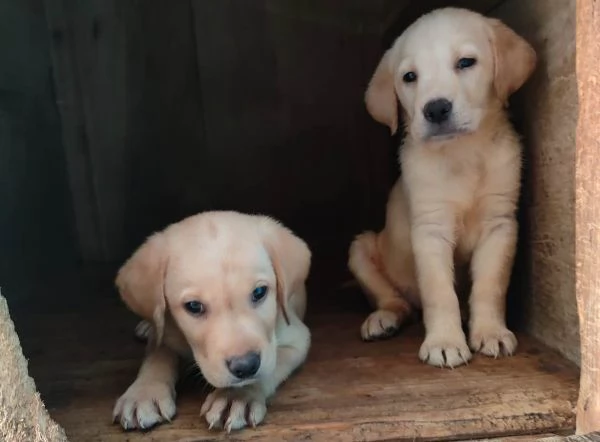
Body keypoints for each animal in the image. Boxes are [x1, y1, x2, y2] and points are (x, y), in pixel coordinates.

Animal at [112, 211, 312, 432]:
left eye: (259, 292)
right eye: (193, 306)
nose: (245, 366)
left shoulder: (297, 338)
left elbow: (271, 368)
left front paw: (237, 396)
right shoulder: (164, 332)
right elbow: (157, 357)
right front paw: (143, 394)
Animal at [350, 6, 536, 368]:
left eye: (465, 62)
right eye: (410, 77)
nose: (435, 108)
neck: (463, 154)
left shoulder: (500, 225)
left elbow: (490, 286)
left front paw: (490, 331)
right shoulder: (430, 229)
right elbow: (439, 292)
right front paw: (445, 341)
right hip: (361, 249)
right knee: (398, 302)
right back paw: (383, 319)